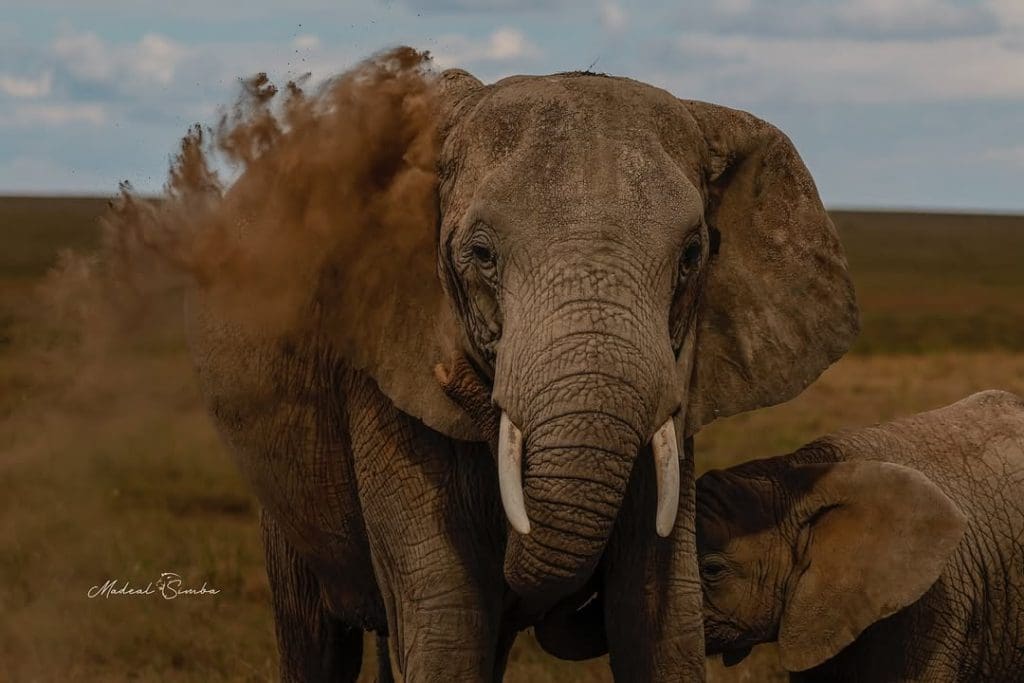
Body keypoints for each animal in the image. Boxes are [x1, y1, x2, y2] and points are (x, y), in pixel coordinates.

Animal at [185, 51, 858, 681]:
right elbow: (447, 616)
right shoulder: (380, 367)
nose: (455, 378)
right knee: (316, 644)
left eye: (693, 255)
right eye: (481, 253)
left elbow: (660, 623)